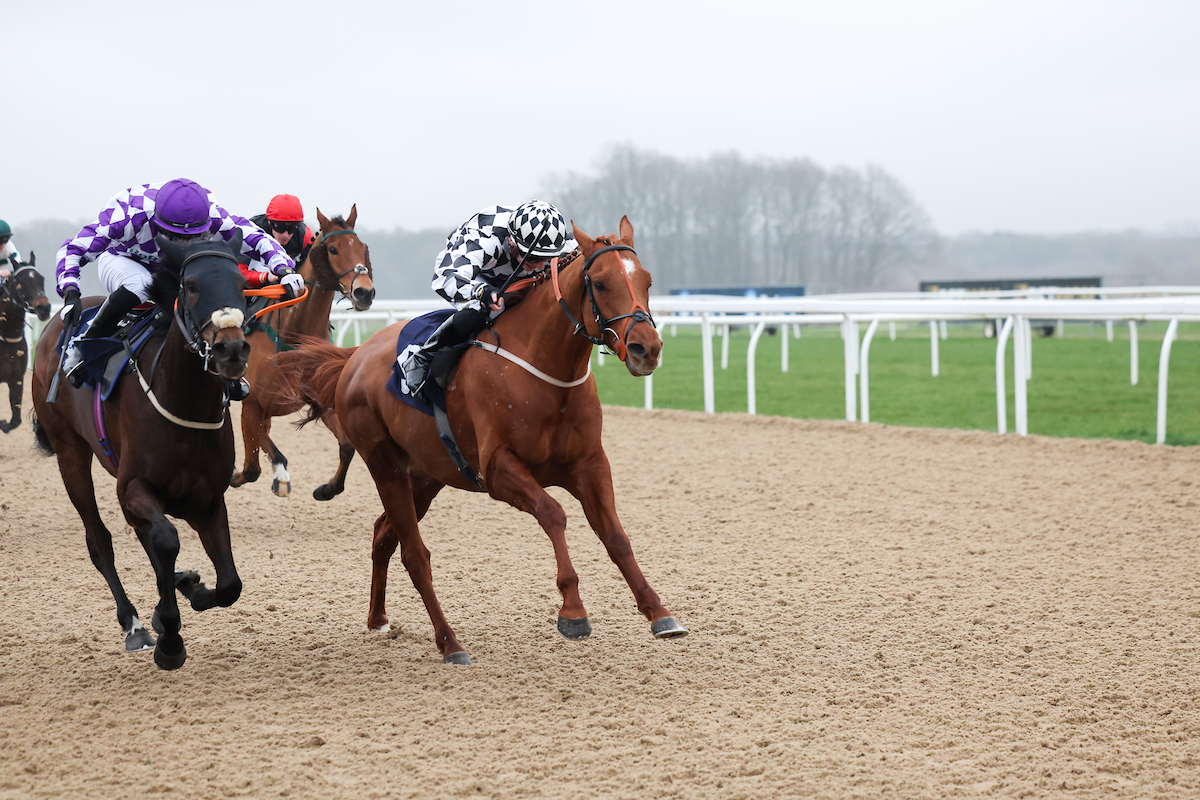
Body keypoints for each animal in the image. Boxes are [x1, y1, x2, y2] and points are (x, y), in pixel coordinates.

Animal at [0, 255, 51, 431]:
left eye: (41, 278)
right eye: (20, 282)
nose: (44, 308)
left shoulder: (16, 379)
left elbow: (16, 420)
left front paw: (4, 424)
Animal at [32, 232, 253, 671]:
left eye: (242, 284)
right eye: (191, 285)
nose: (232, 350)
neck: (183, 403)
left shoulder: (206, 499)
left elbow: (230, 584)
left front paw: (191, 589)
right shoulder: (133, 486)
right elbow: (165, 539)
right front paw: (169, 638)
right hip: (69, 452)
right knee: (100, 541)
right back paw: (134, 624)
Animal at [226, 209, 372, 503]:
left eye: (362, 247)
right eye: (333, 249)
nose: (365, 292)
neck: (294, 336)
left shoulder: (322, 398)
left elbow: (347, 446)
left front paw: (326, 489)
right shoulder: (252, 404)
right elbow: (250, 468)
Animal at [274, 217, 686, 662]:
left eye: (647, 279)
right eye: (600, 282)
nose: (647, 348)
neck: (546, 369)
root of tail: (354, 357)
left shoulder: (590, 463)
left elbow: (616, 537)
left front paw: (659, 613)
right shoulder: (498, 469)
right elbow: (554, 513)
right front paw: (573, 611)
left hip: (425, 476)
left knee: (384, 535)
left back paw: (379, 620)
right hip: (385, 465)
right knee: (414, 555)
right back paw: (450, 643)